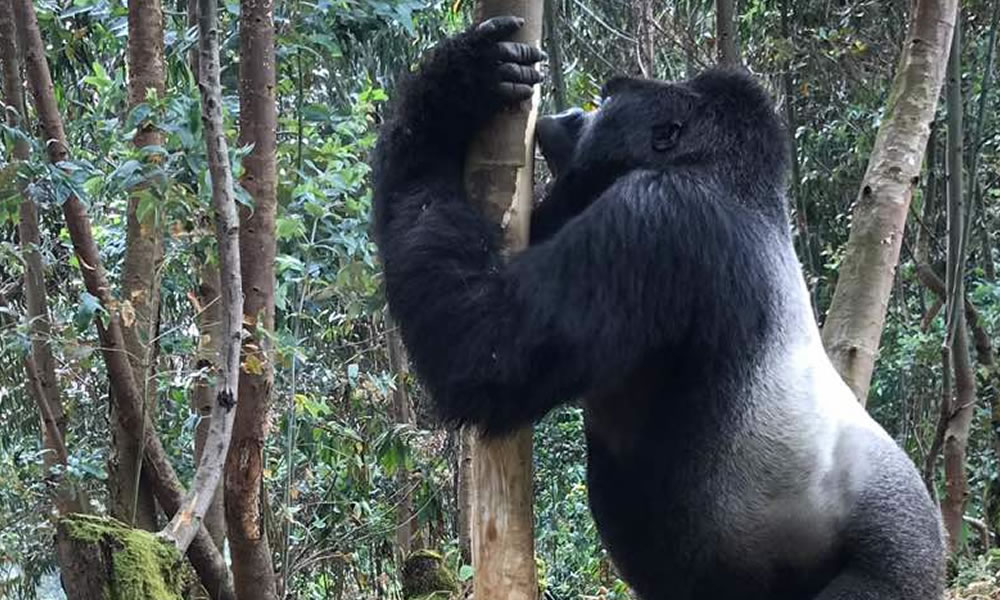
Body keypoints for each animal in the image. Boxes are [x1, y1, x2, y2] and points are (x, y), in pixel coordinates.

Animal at [374, 16, 944, 600]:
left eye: (606, 100)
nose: (570, 115)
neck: (725, 174)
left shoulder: (658, 215)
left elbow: (482, 354)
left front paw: (450, 95)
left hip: (896, 563)